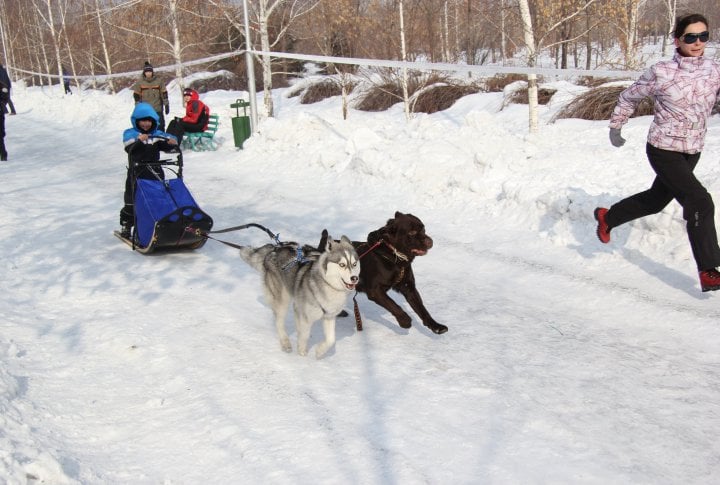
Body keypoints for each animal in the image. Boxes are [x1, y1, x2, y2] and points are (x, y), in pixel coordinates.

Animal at [239, 229, 360, 358]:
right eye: (342, 264)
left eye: (354, 264)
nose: (354, 278)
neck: (328, 285)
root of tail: (275, 248)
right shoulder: (306, 316)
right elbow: (304, 335)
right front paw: (302, 353)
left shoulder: (329, 316)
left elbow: (331, 340)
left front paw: (319, 351)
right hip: (283, 300)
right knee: (279, 322)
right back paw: (285, 343)